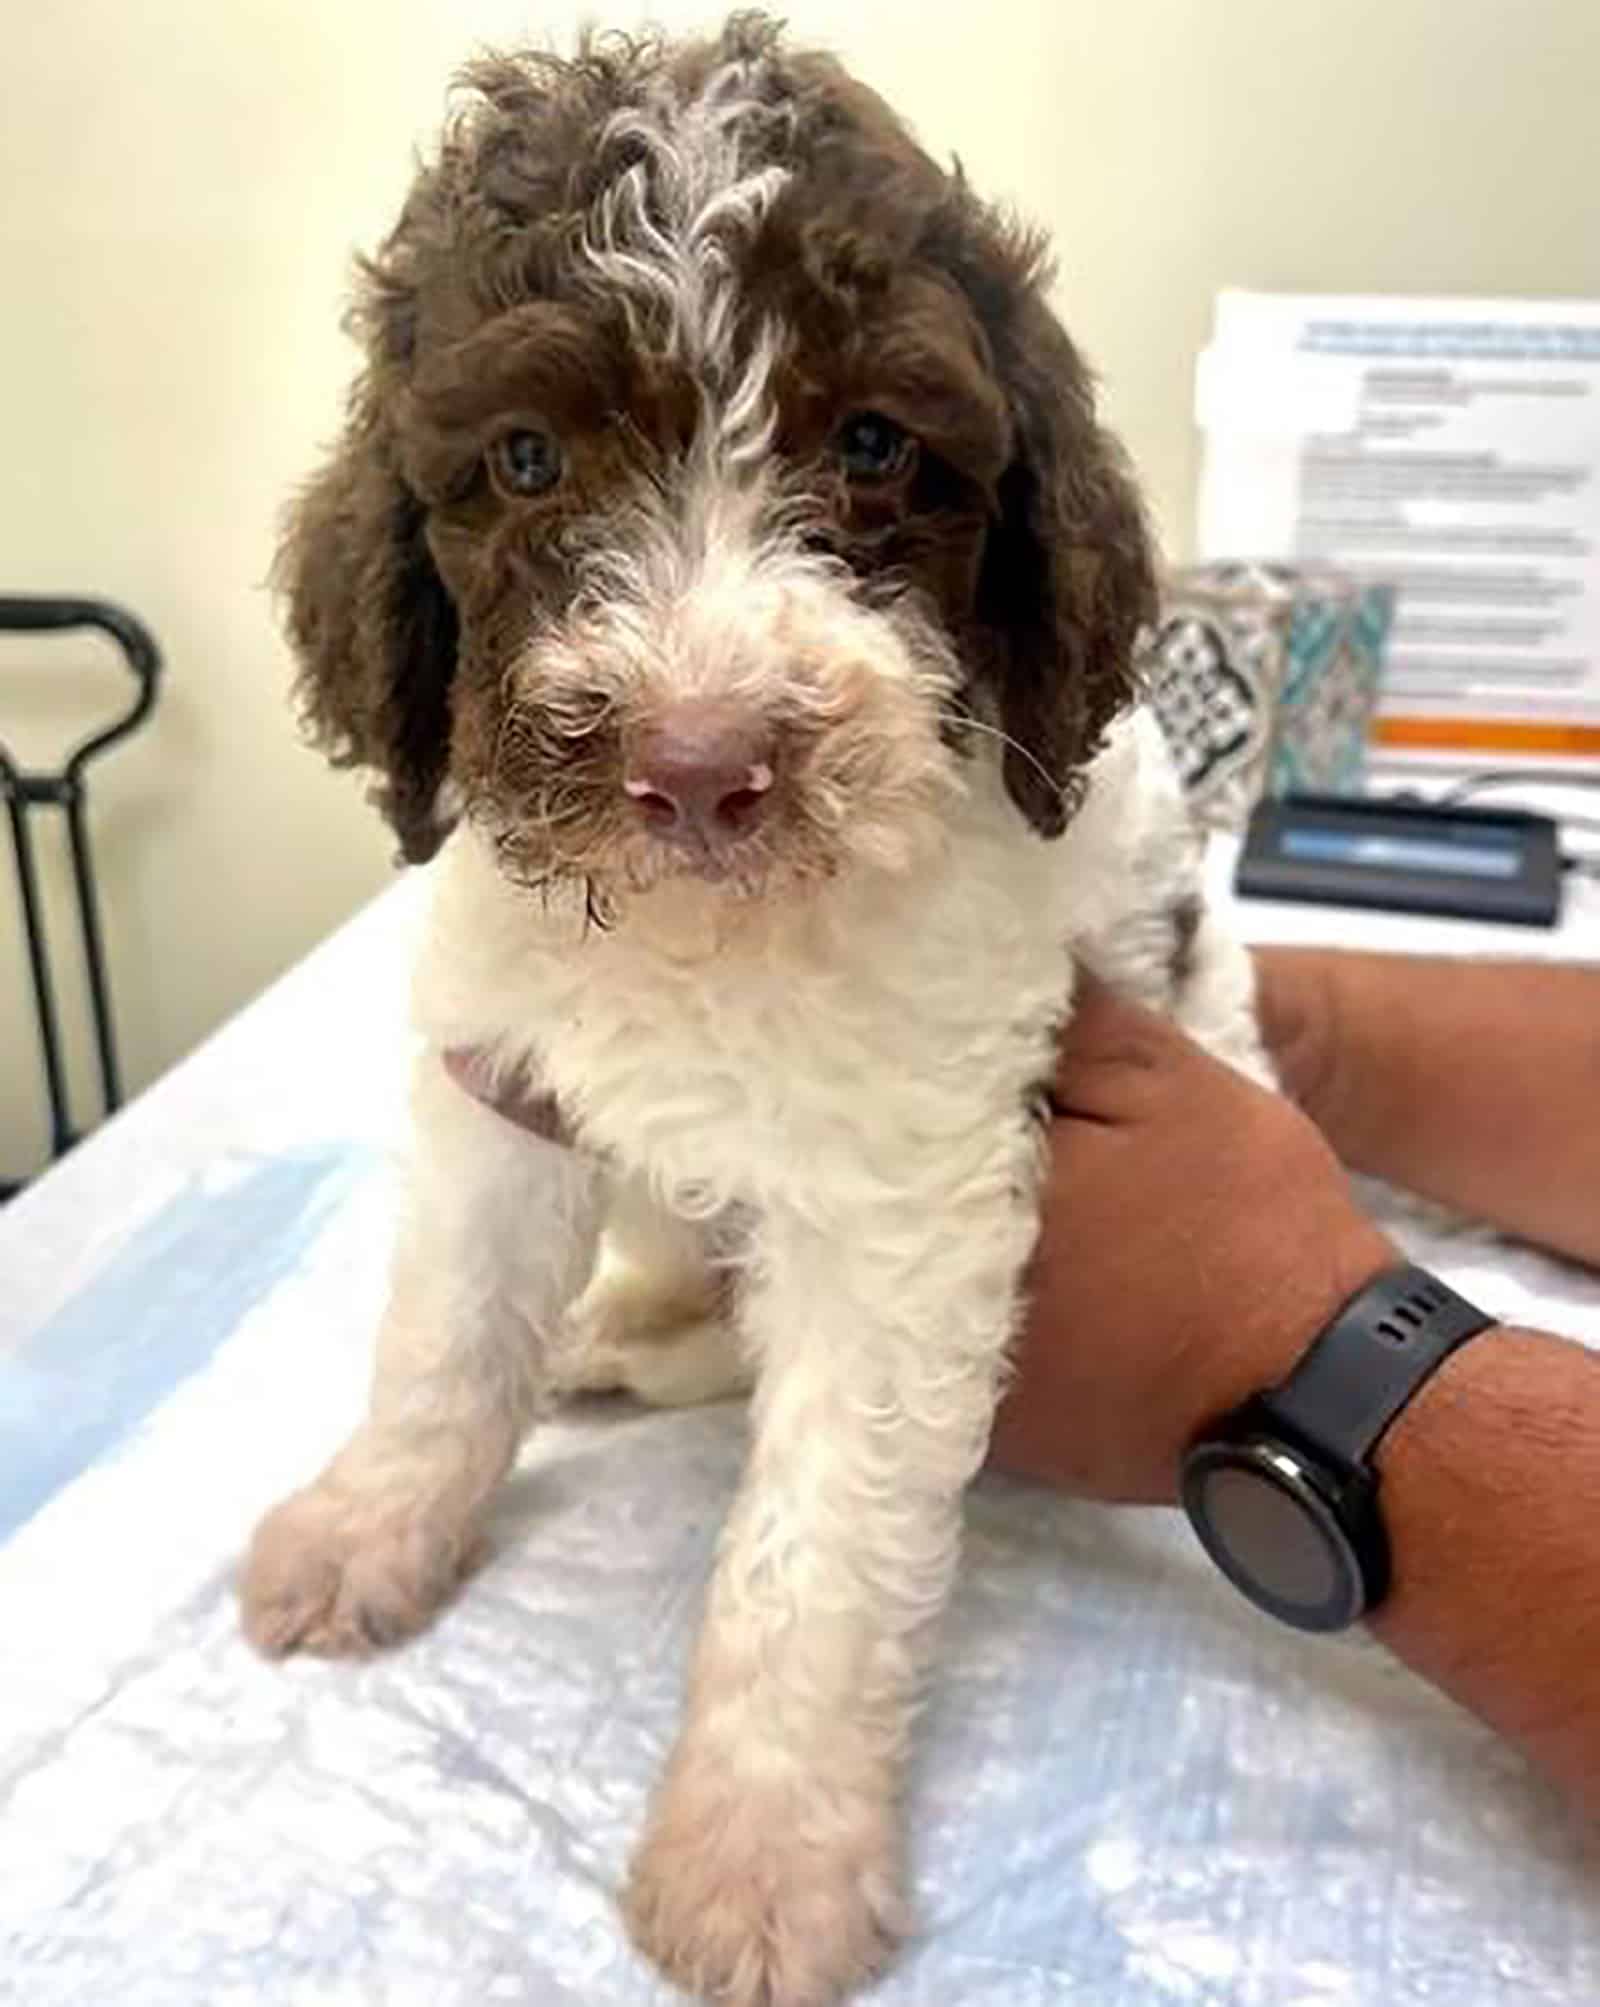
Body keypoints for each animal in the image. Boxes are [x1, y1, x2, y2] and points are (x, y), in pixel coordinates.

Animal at [246, 19, 1276, 2007]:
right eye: (523, 456)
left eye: (873, 442)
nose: (701, 763)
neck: (704, 937)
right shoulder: (504, 1081)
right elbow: (446, 1339)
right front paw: (372, 1523)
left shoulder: (905, 1203)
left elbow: (821, 1543)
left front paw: (764, 1849)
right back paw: (615, 1325)